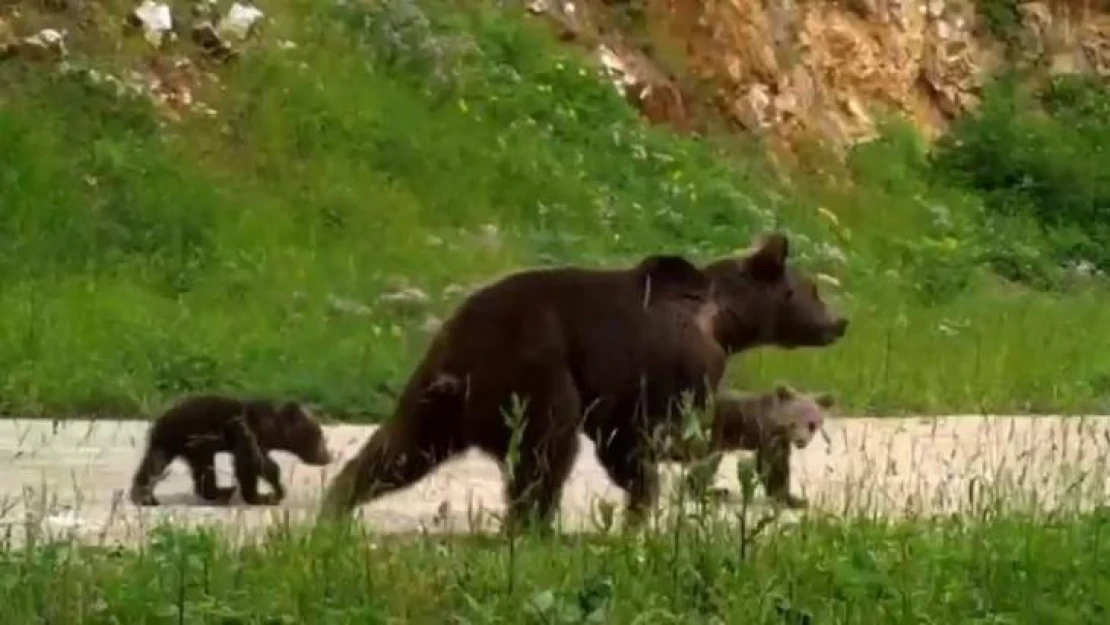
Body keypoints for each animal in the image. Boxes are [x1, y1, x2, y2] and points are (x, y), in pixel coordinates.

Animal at [317, 232, 843, 530]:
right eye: (814, 290)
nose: (840, 321)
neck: (724, 323)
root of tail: (460, 367)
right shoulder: (668, 362)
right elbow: (645, 434)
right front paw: (648, 499)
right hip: (533, 370)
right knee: (548, 450)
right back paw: (536, 528)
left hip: (435, 392)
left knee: (398, 450)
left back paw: (335, 509)